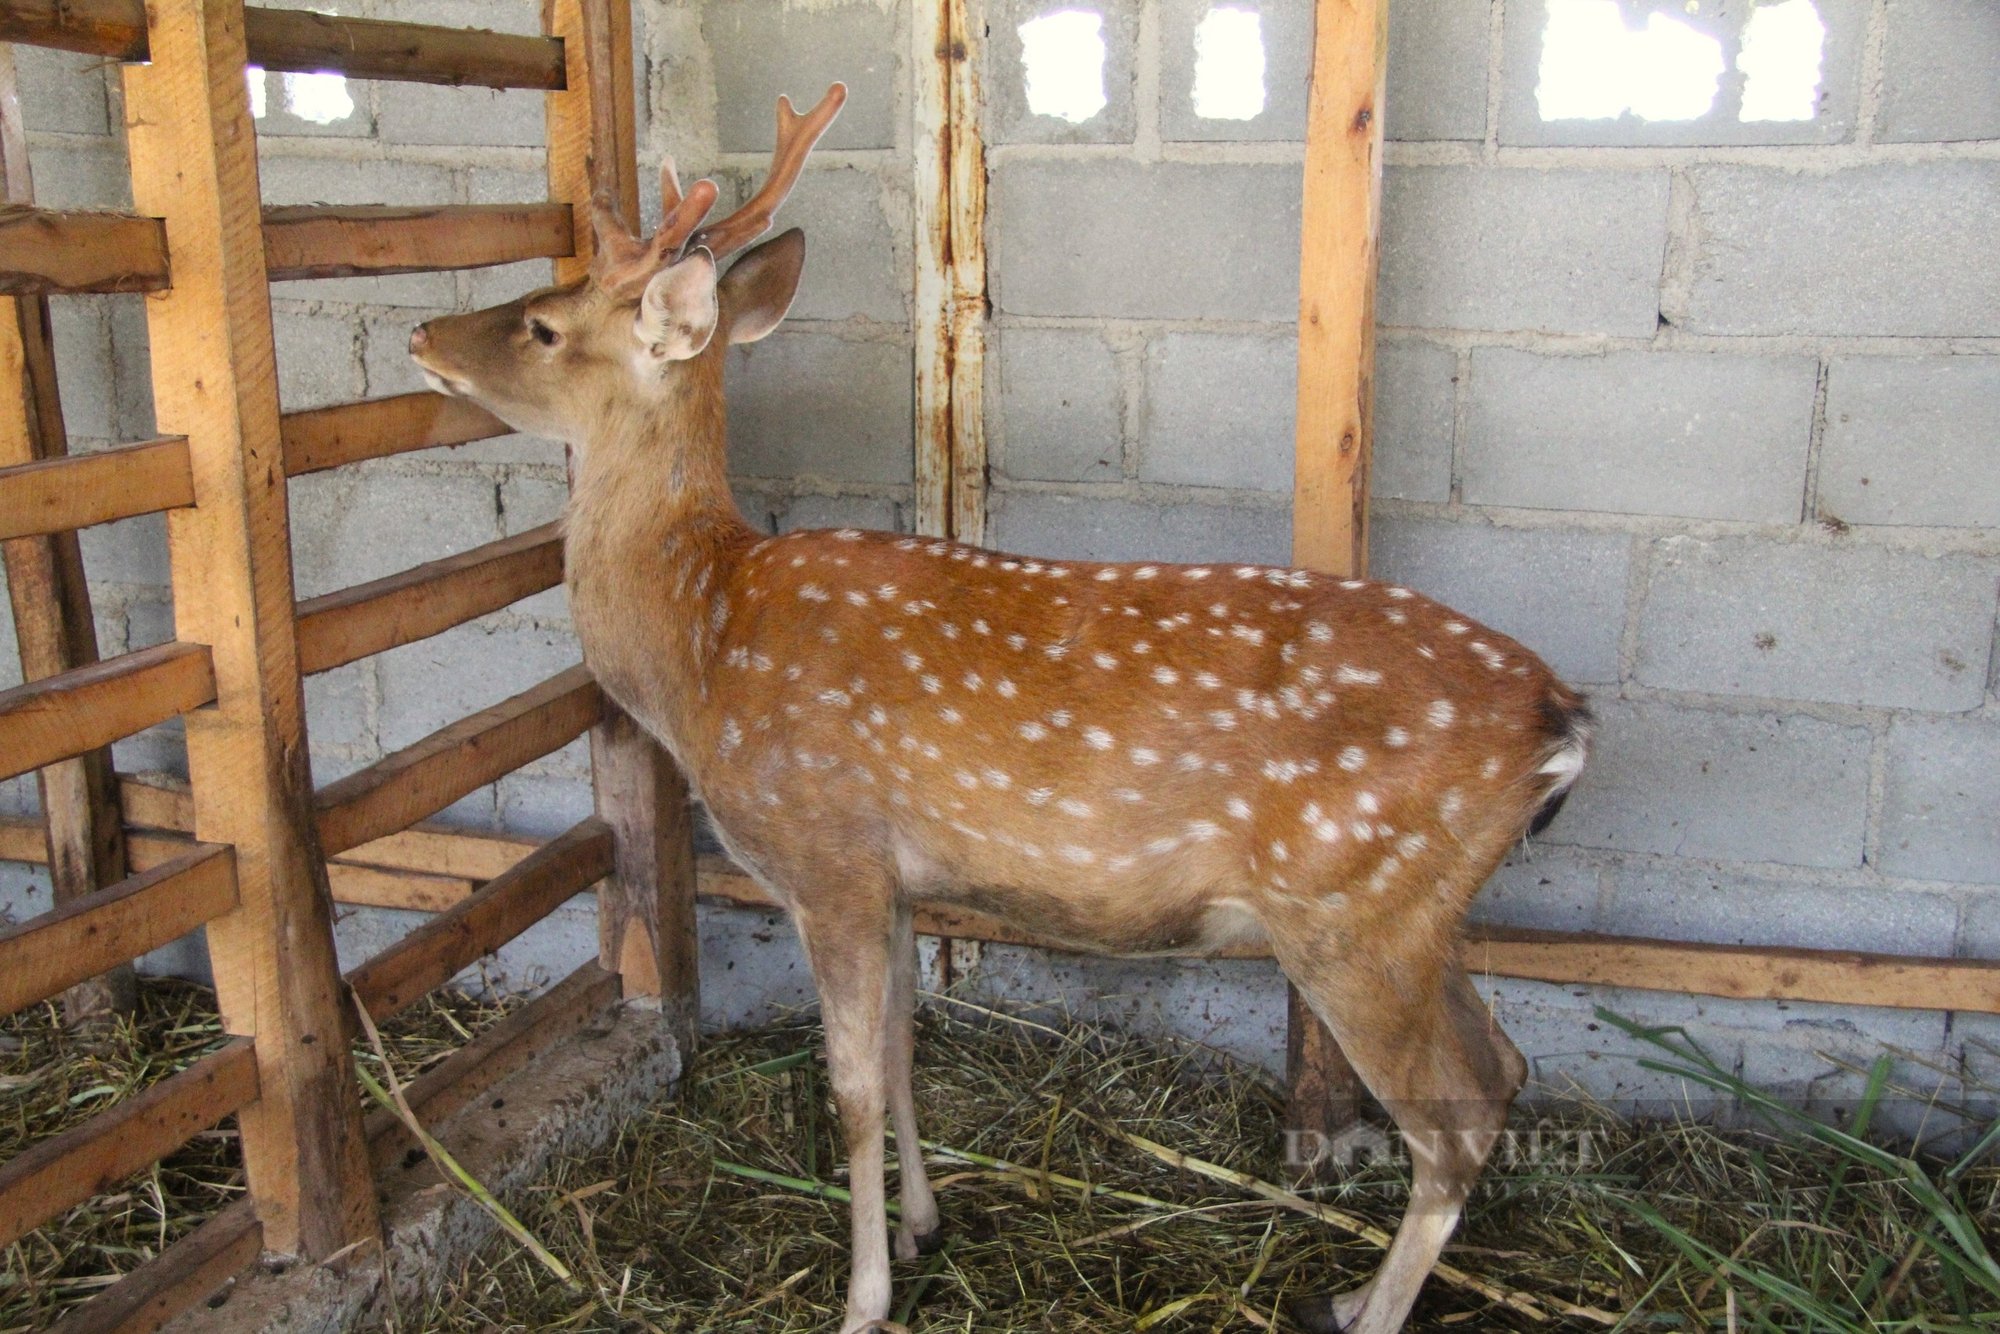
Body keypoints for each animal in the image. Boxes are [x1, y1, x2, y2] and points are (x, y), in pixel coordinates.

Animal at [410, 83, 1592, 1334]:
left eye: (544, 323)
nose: (420, 334)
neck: (699, 642)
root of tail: (1561, 720)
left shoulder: (826, 851)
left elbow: (848, 1084)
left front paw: (862, 1298)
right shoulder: (894, 878)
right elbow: (899, 1048)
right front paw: (924, 1225)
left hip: (1350, 906)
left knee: (1455, 1110)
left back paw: (1366, 1306)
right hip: (1417, 913)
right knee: (1503, 1064)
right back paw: (1353, 1288)